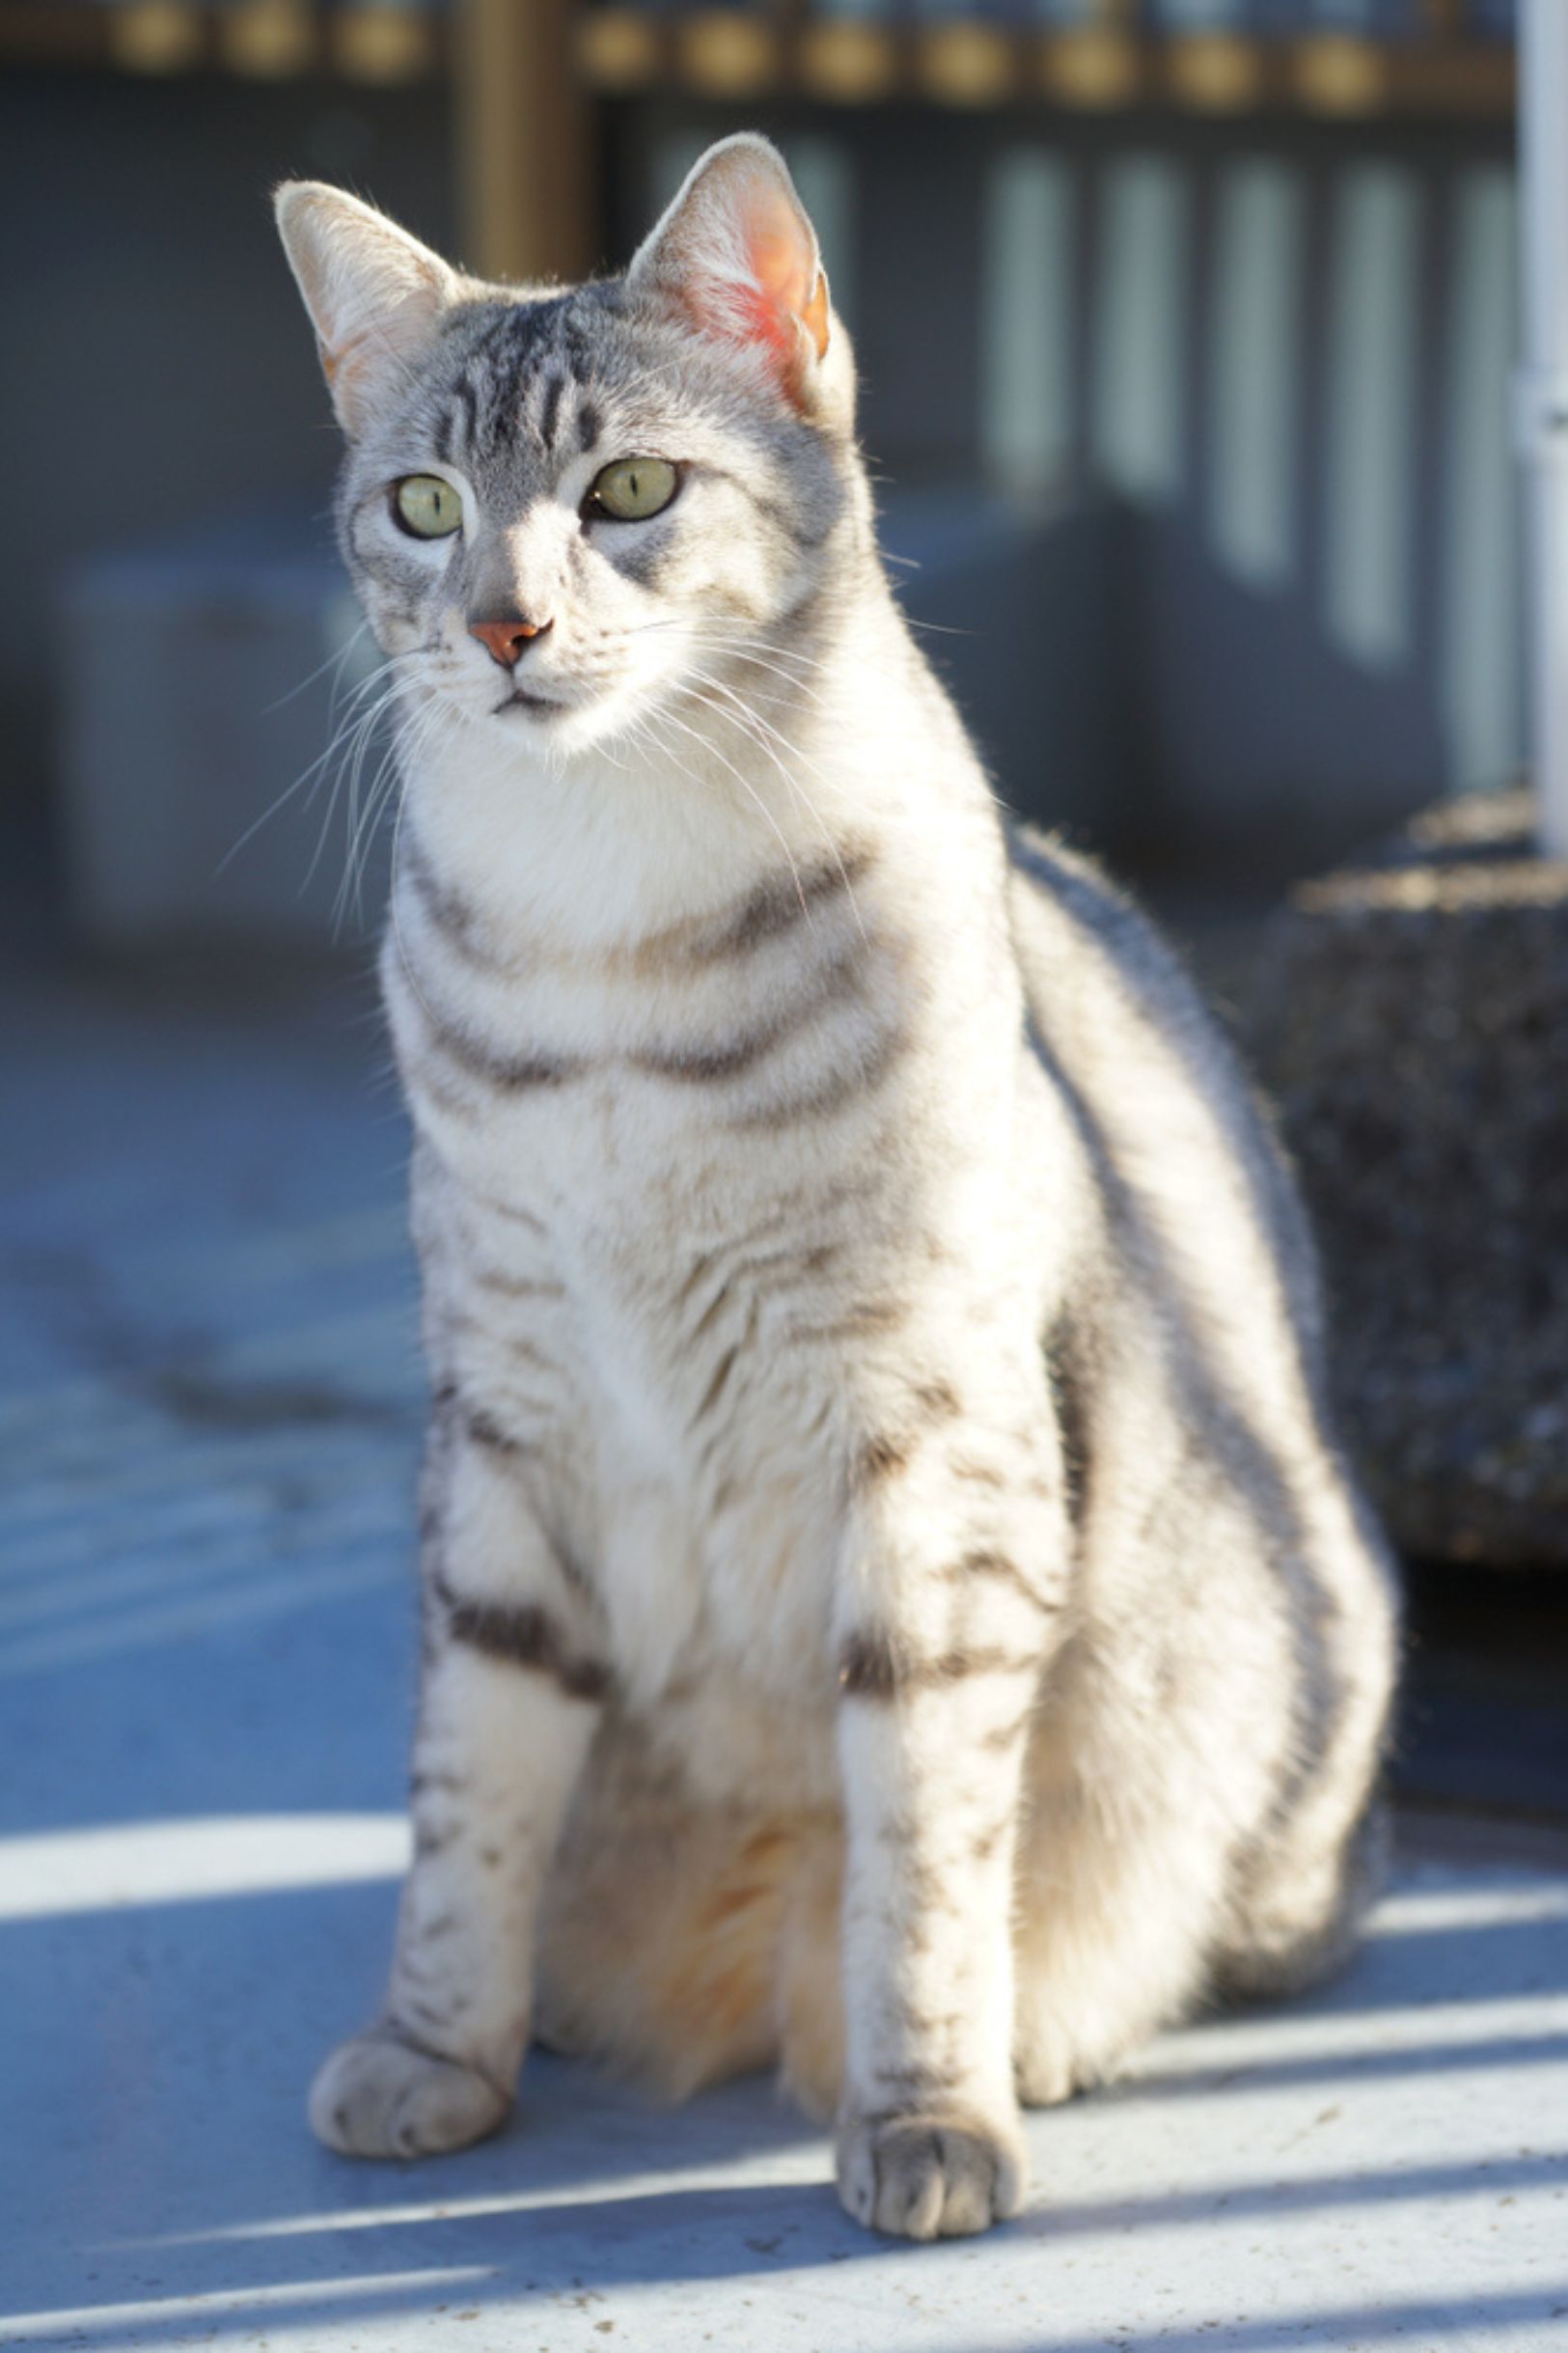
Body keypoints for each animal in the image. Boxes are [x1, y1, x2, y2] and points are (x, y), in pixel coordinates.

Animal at [276, 133, 1401, 2239]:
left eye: (629, 492)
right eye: (422, 506)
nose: (501, 629)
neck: (603, 942)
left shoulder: (930, 1444)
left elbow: (924, 1846)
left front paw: (925, 2102)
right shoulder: (502, 1419)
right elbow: (468, 1786)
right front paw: (434, 2047)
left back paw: (1051, 2026)